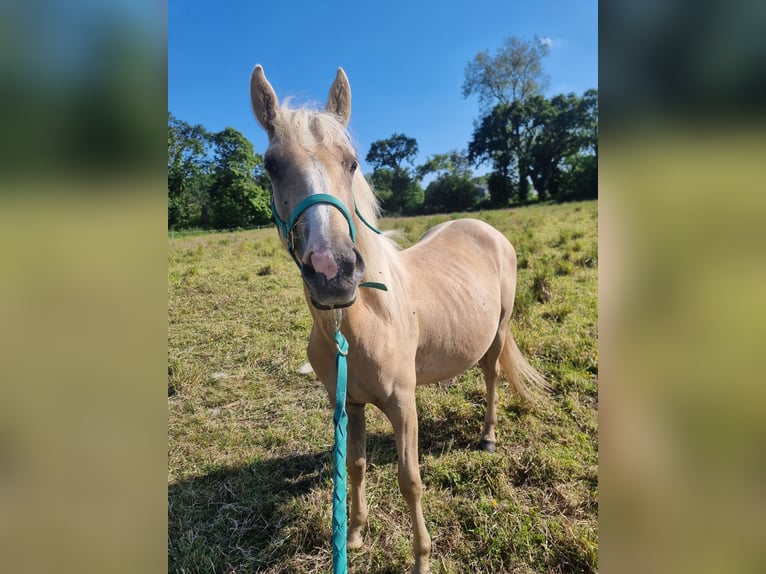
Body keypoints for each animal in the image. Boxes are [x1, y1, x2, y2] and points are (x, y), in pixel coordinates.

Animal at [250, 66, 544, 574]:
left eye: (351, 163)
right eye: (271, 165)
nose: (332, 271)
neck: (356, 325)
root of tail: (487, 229)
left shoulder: (404, 407)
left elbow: (410, 481)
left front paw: (422, 557)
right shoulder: (349, 404)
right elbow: (356, 466)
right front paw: (355, 534)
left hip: (498, 331)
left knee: (490, 376)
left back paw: (487, 438)